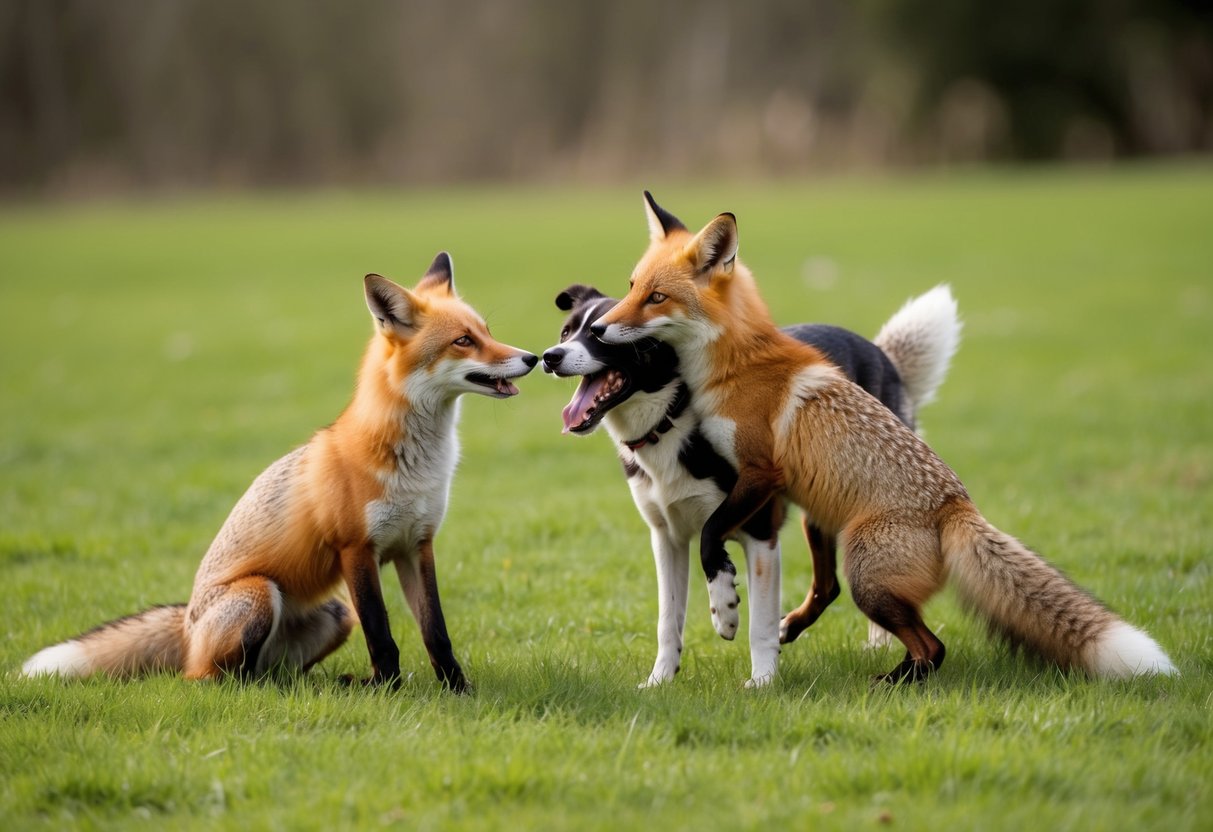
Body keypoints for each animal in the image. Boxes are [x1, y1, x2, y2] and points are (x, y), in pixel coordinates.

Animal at [22, 252, 538, 690]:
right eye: (463, 341)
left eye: (487, 331)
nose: (533, 358)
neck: (415, 464)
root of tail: (188, 625)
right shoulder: (356, 549)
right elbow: (382, 635)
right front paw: (390, 691)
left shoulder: (417, 545)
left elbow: (436, 632)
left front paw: (458, 690)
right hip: (260, 595)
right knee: (218, 678)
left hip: (334, 614)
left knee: (276, 671)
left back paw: (326, 685)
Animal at [591, 194, 1177, 682]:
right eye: (631, 287)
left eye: (656, 297)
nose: (594, 329)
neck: (735, 364)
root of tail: (958, 505)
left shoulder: (760, 472)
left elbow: (712, 534)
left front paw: (728, 612)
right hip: (827, 529)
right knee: (852, 603)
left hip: (866, 577)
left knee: (932, 646)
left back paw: (890, 682)